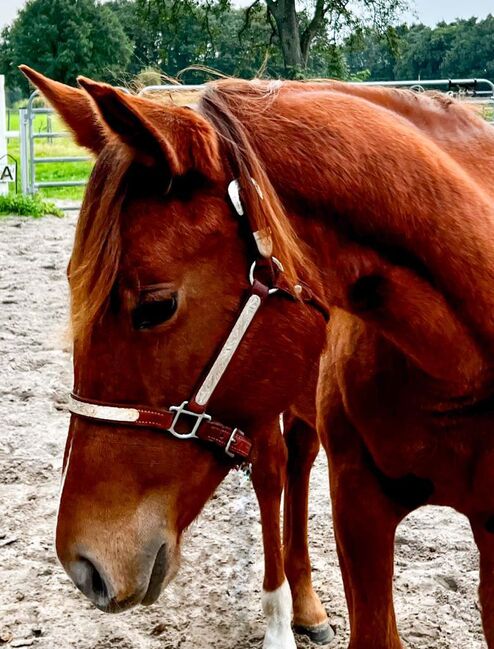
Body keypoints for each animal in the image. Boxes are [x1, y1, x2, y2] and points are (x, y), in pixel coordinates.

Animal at [22, 67, 494, 648]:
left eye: (155, 307)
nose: (84, 564)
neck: (458, 373)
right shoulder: (360, 509)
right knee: (274, 475)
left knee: (297, 462)